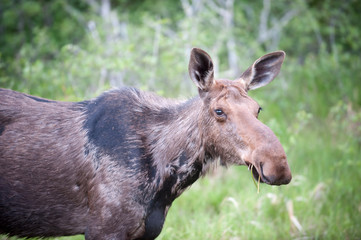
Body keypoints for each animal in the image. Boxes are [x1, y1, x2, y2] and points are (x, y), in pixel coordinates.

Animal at [0, 47, 292, 239]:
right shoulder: (103, 228)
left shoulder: (147, 230)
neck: (164, 180)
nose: (278, 165)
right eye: (219, 111)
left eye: (258, 108)